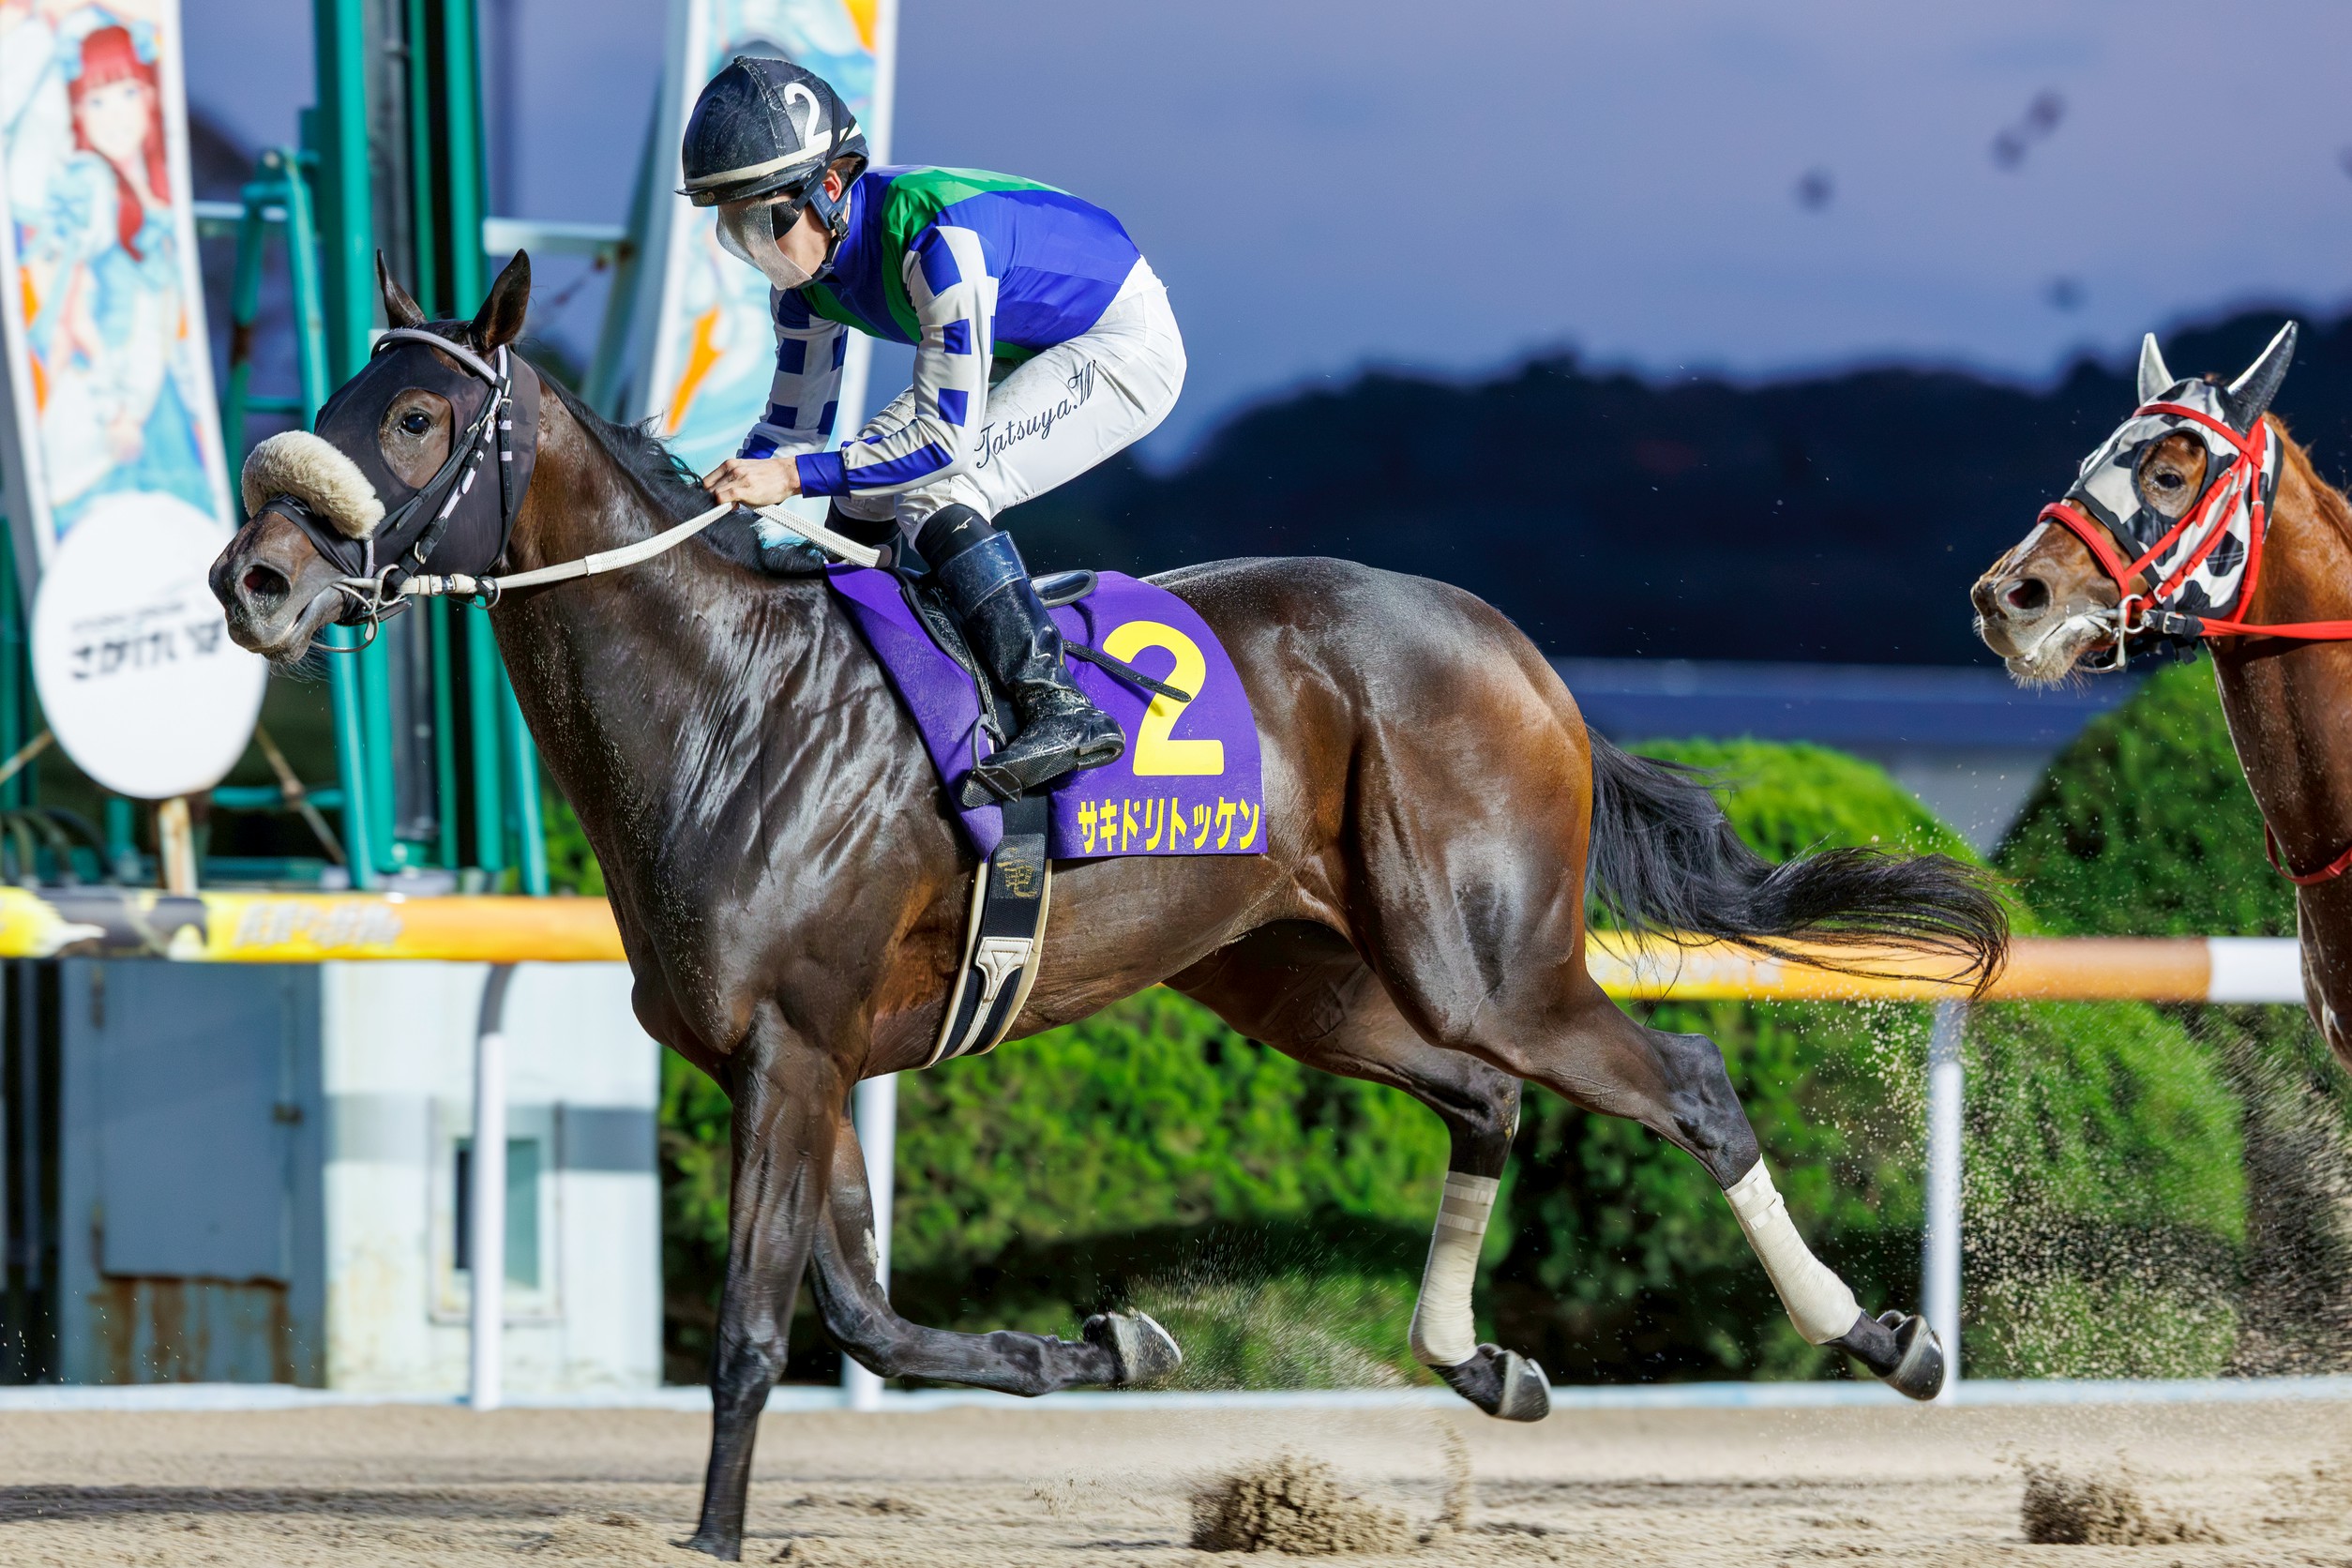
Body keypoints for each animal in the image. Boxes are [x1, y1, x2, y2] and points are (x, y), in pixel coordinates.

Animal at [212, 253, 2006, 1560]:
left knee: (1684, 1084)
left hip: (1484, 957)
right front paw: (1113, 1347)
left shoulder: (793, 1049)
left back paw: (1886, 1338)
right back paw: (1479, 1360)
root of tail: (1521, 652)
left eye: (420, 419)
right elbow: (870, 1319)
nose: (257, 577)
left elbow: (755, 1333)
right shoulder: (795, 1060)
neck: (728, 702)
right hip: (1304, 977)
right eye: (337, 392)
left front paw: (713, 1540)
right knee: (1483, 1100)